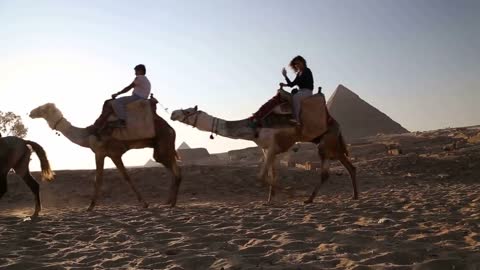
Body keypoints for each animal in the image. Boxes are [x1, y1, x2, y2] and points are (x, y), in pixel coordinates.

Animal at [29, 102, 182, 211]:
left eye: (42, 108)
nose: (30, 112)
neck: (87, 135)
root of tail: (172, 129)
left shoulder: (106, 153)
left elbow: (109, 178)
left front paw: (90, 207)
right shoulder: (107, 154)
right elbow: (111, 177)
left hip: (163, 144)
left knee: (175, 171)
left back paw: (172, 203)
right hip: (162, 148)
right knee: (173, 170)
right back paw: (168, 202)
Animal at [170, 100, 356, 202]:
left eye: (188, 111)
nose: (173, 113)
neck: (254, 127)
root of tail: (336, 123)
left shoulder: (273, 147)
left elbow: (261, 176)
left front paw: (290, 193)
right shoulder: (267, 150)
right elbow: (271, 175)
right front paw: (269, 200)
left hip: (327, 142)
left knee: (331, 170)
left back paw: (313, 198)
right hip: (330, 145)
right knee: (347, 168)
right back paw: (350, 196)